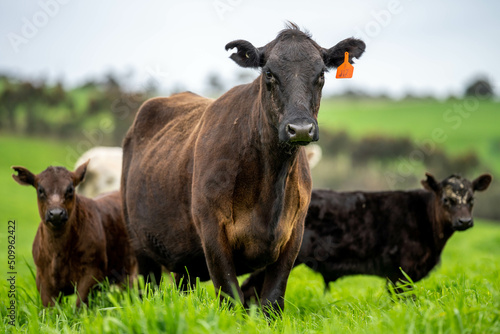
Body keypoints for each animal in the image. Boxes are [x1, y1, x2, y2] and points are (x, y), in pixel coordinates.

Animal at [12, 162, 136, 308]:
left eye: (70, 189)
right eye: (40, 190)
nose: (56, 213)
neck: (58, 253)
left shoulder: (92, 272)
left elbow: (80, 306)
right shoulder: (43, 278)